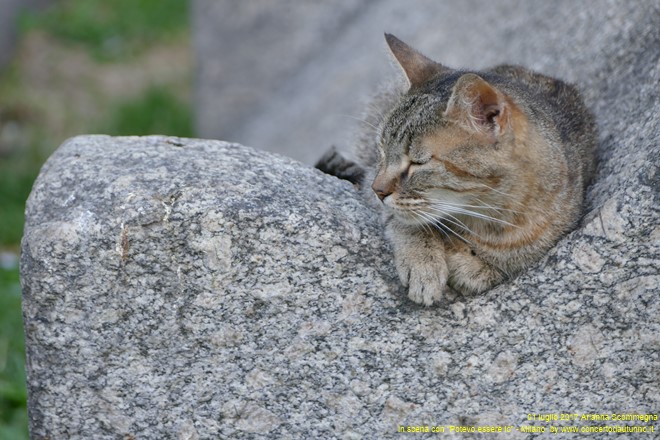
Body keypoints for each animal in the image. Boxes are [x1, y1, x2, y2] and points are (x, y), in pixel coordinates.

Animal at [316, 34, 600, 306]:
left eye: (418, 162)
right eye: (382, 151)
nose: (378, 190)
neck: (490, 222)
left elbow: (490, 270)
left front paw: (466, 263)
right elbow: (406, 221)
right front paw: (423, 262)